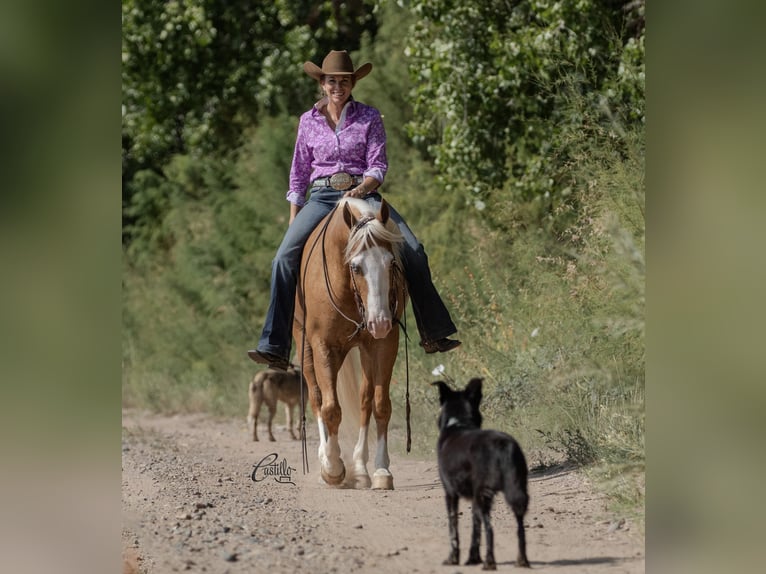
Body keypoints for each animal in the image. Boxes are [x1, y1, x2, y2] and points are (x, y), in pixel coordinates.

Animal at [296, 198, 412, 490]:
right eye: (356, 267)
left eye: (391, 263)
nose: (379, 321)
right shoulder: (322, 345)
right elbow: (330, 408)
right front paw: (333, 468)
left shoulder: (384, 343)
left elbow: (380, 405)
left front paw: (382, 471)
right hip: (306, 346)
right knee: (317, 397)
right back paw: (327, 458)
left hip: (364, 349)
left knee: (364, 400)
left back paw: (360, 468)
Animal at [436, 378, 532, 572]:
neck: (458, 423)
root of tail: (503, 445)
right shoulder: (473, 498)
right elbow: (475, 528)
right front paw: (473, 558)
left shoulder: (450, 493)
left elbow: (454, 529)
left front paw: (453, 559)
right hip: (515, 491)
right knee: (520, 528)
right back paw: (522, 561)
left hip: (484, 495)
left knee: (491, 529)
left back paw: (490, 562)